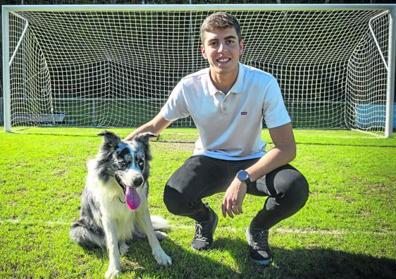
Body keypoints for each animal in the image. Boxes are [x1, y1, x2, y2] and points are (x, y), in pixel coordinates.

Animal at [71, 132, 172, 279]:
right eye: (123, 163)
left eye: (141, 162)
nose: (138, 181)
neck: (120, 195)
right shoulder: (107, 217)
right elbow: (112, 244)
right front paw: (114, 269)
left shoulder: (142, 210)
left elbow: (150, 234)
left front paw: (161, 255)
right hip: (78, 230)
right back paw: (122, 246)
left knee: (139, 232)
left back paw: (158, 233)